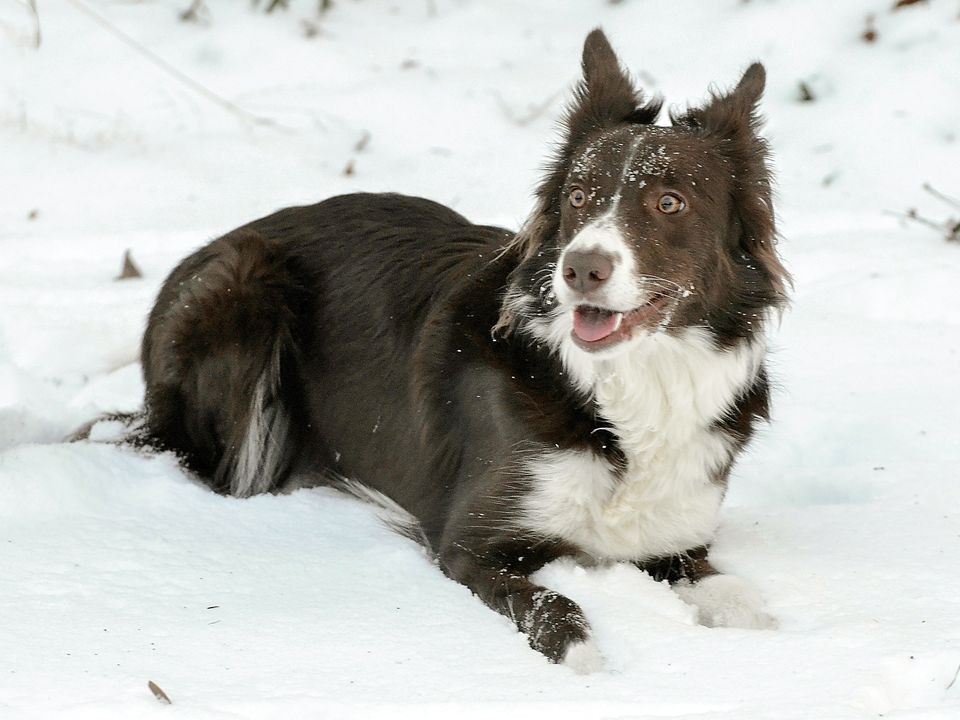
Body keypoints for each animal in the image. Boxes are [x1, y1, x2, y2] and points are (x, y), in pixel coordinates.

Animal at [139, 28, 792, 668]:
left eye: (669, 203)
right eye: (579, 198)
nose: (580, 268)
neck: (625, 384)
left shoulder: (678, 541)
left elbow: (743, 600)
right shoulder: (472, 545)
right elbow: (557, 610)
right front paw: (587, 659)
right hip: (245, 294)